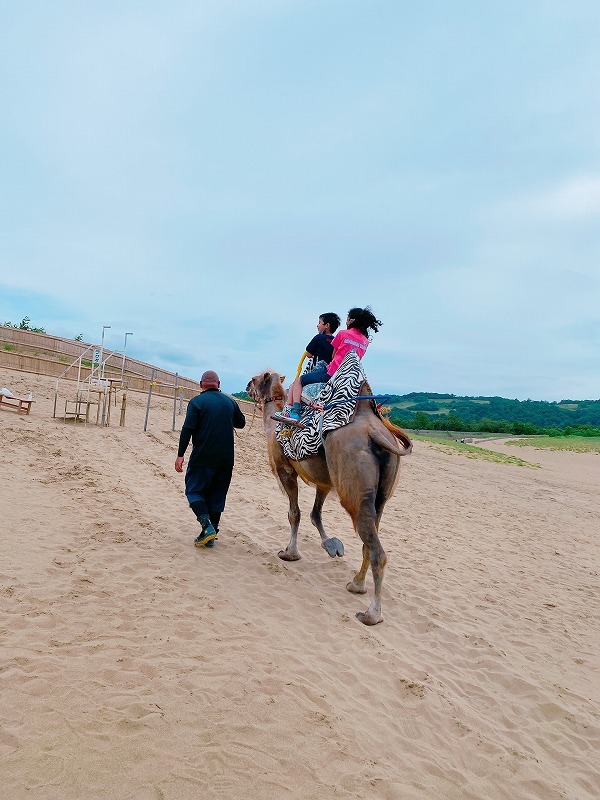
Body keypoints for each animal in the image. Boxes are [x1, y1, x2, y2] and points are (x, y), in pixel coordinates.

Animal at [246, 368, 410, 624]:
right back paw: (356, 584)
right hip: (381, 495)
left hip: (354, 490)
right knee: (369, 539)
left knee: (377, 551)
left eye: (255, 379)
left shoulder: (285, 470)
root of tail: (376, 432)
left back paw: (371, 613)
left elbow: (295, 513)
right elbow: (315, 514)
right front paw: (331, 546)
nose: (246, 386)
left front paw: (290, 553)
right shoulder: (323, 482)